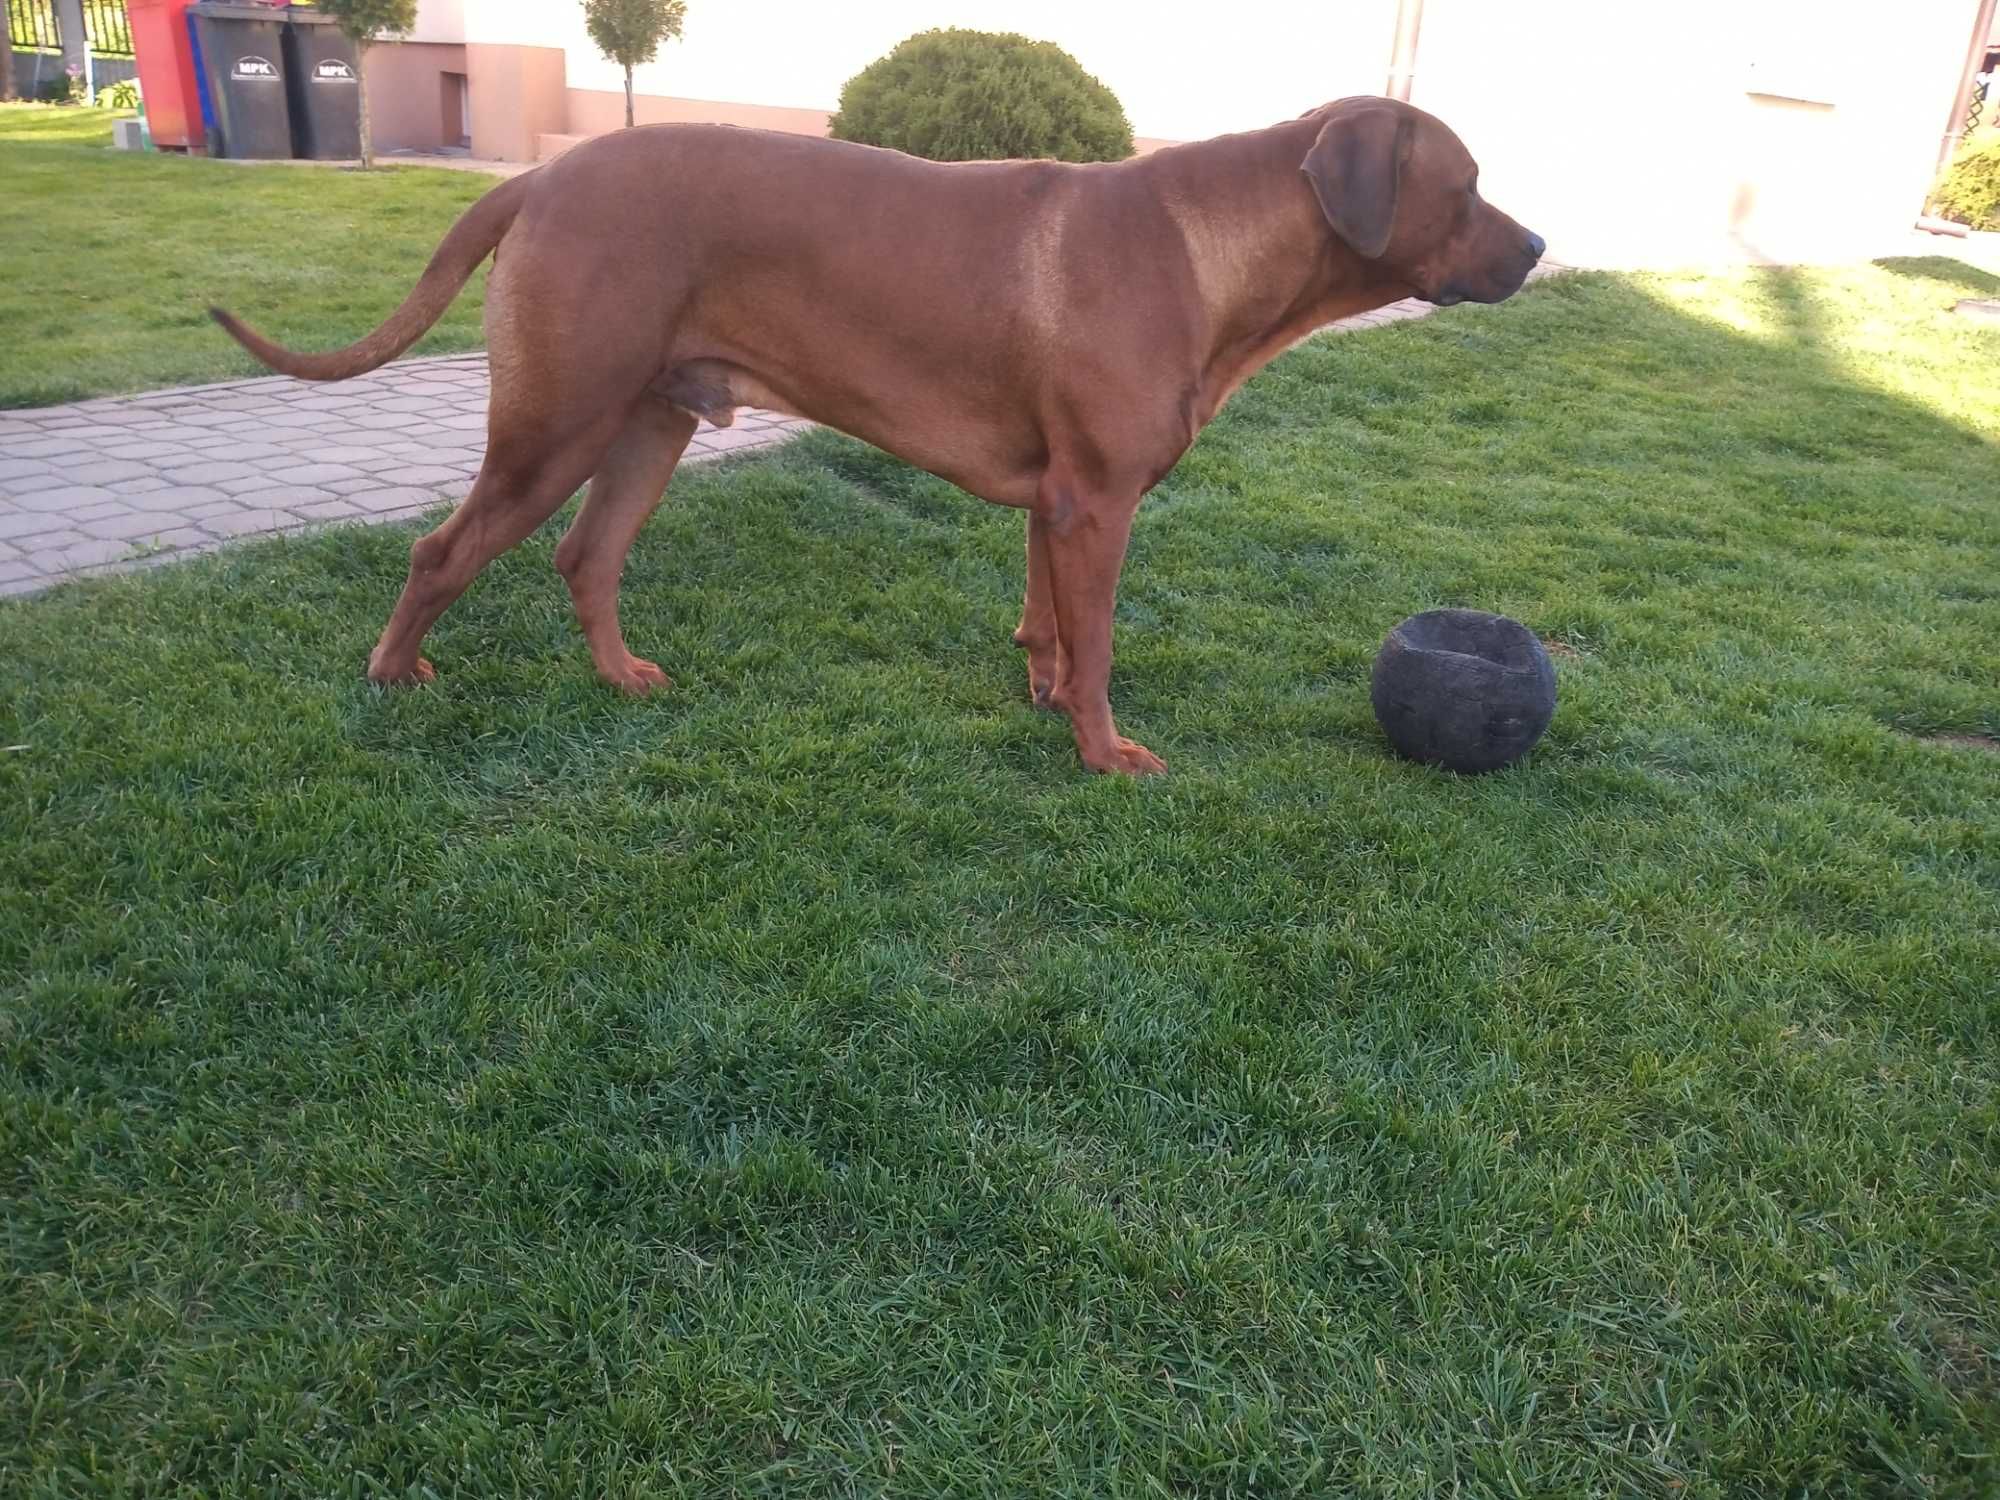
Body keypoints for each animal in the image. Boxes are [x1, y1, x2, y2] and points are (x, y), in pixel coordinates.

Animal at [219, 97, 1536, 776]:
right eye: (1467, 184)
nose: (1533, 247)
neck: (1210, 250)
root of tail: (536, 181)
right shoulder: (1098, 501)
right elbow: (1101, 646)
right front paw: (1104, 752)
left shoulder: (1055, 498)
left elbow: (1049, 626)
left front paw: (1043, 697)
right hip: (558, 423)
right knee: (442, 553)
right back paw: (394, 678)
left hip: (648, 421)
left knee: (584, 558)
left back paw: (619, 676)